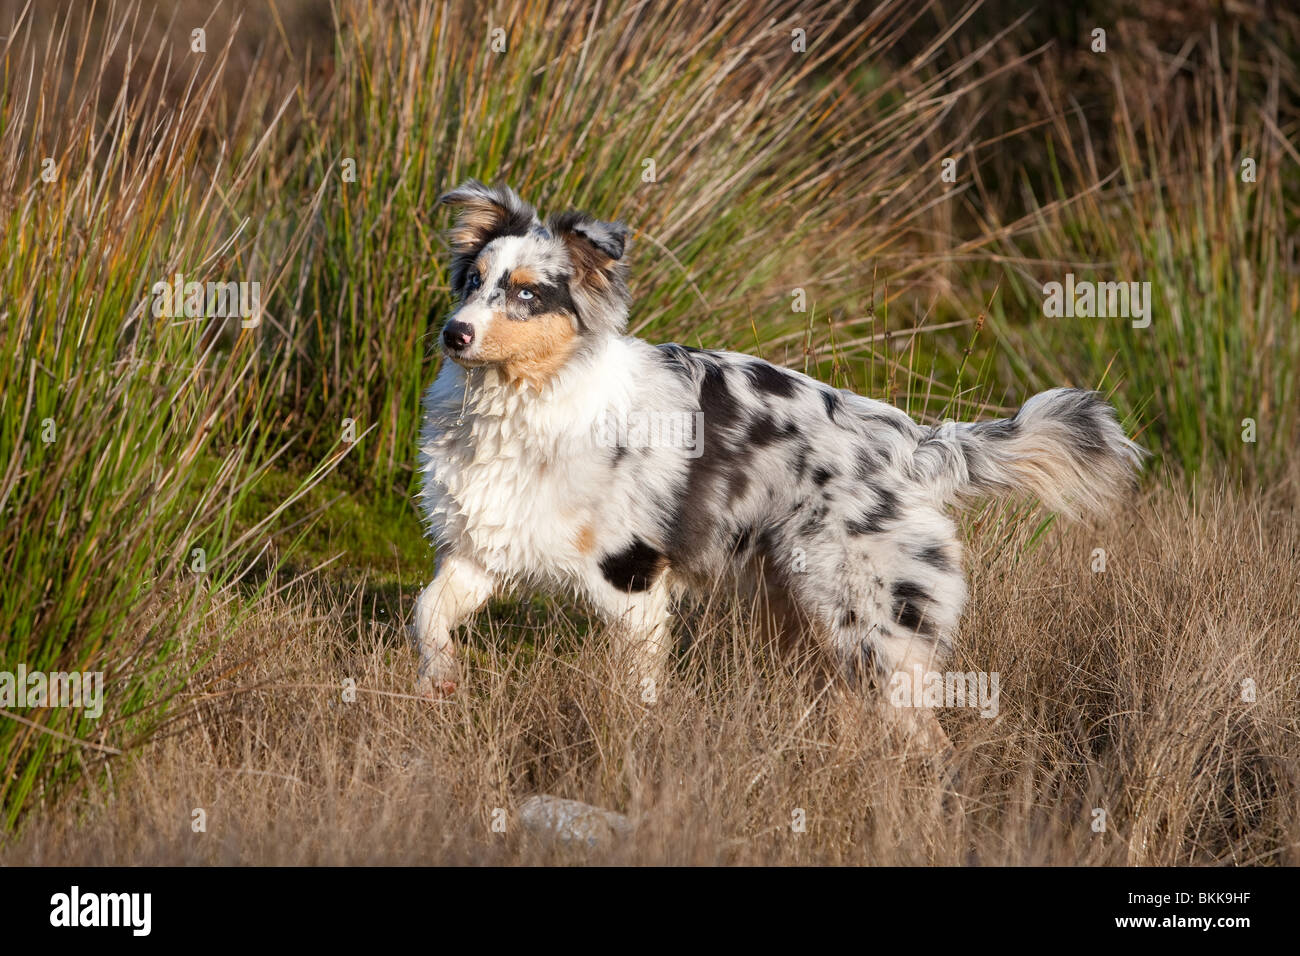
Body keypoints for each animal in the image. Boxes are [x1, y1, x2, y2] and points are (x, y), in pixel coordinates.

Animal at [410, 179, 1144, 754]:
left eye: (527, 294)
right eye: (472, 281)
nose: (454, 333)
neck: (519, 401)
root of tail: (910, 442)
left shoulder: (633, 579)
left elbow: (635, 691)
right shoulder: (486, 545)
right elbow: (427, 612)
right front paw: (441, 680)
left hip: (870, 618)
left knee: (927, 735)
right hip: (806, 609)